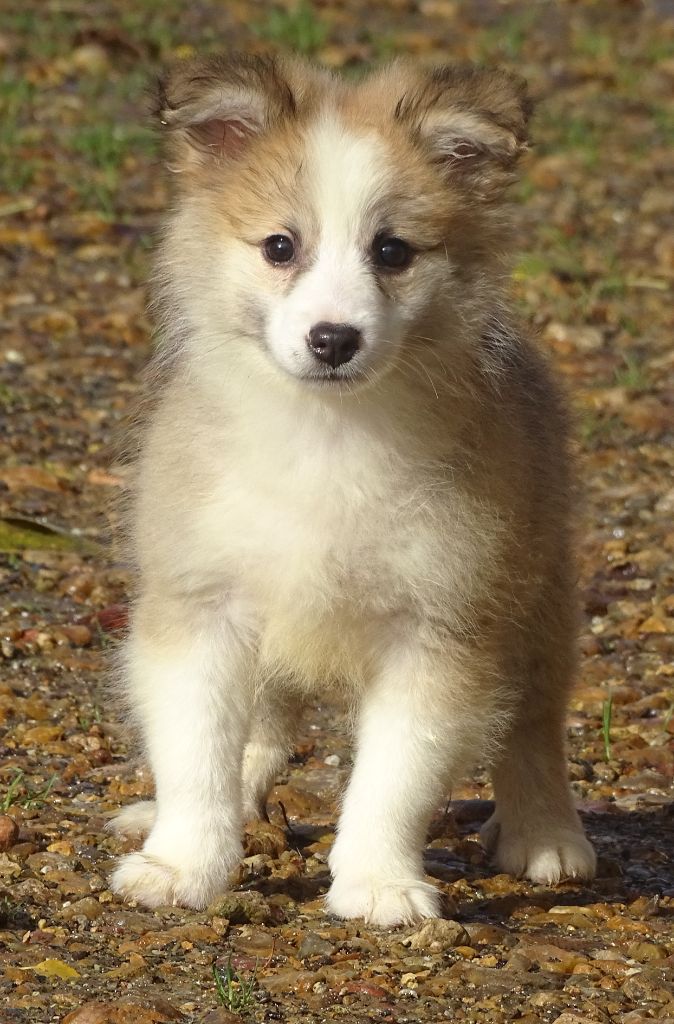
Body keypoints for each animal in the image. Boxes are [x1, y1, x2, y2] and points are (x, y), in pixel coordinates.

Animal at [107, 51, 594, 925]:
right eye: (279, 245)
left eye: (393, 251)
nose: (333, 338)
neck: (327, 435)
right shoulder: (203, 605)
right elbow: (198, 751)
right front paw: (182, 863)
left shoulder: (438, 628)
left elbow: (394, 778)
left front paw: (377, 883)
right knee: (257, 736)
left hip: (537, 602)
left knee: (534, 729)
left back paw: (546, 836)